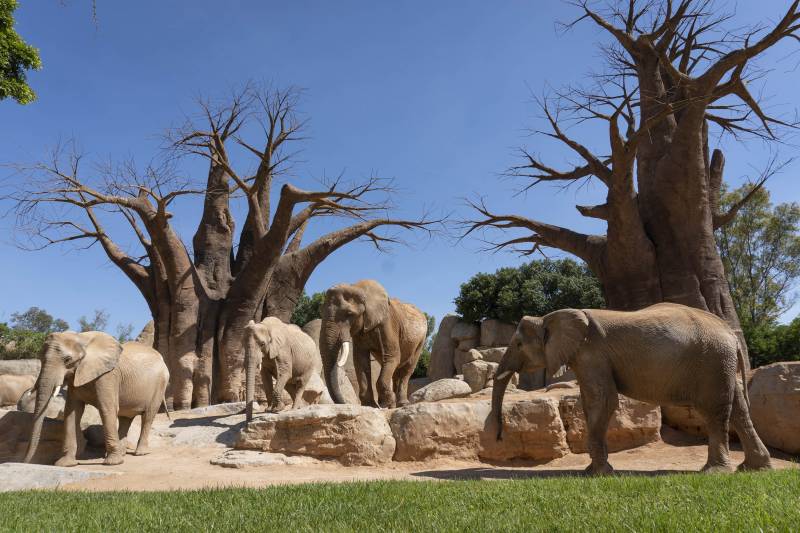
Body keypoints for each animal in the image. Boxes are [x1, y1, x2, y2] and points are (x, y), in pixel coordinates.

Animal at [22, 332, 170, 466]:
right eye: (40, 359)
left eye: (67, 359)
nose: (25, 461)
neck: (81, 338)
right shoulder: (75, 377)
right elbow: (72, 412)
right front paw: (65, 464)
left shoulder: (108, 376)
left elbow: (107, 409)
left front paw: (113, 463)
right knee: (125, 418)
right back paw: (122, 453)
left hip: (160, 385)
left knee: (148, 416)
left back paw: (140, 453)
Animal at [320, 278, 428, 408]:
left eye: (350, 314)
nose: (344, 402)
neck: (358, 288)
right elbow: (360, 360)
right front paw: (371, 405)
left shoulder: (388, 323)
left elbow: (392, 356)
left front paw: (386, 404)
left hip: (421, 341)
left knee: (407, 368)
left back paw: (402, 404)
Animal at [490, 304, 772, 474]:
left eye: (518, 344)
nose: (498, 436)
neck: (549, 317)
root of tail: (732, 334)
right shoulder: (586, 357)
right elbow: (590, 402)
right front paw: (595, 471)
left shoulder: (592, 353)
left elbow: (602, 401)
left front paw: (597, 474)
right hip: (722, 365)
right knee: (739, 410)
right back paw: (754, 469)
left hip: (712, 362)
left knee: (714, 411)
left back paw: (714, 472)